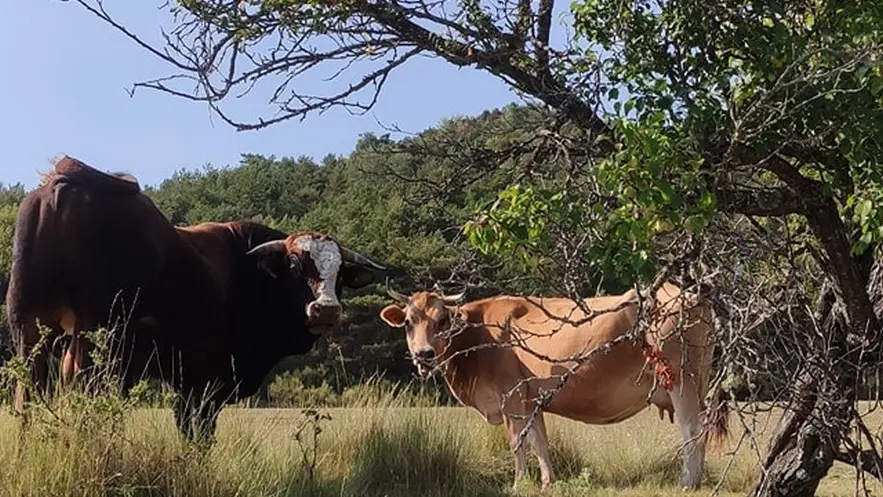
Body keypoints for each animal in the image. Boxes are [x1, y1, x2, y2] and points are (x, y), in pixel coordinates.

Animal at [5, 156, 388, 444]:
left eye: (340, 273)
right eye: (294, 264)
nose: (326, 309)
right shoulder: (205, 382)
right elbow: (197, 436)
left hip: (30, 329)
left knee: (28, 399)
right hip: (94, 338)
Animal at [378, 282, 729, 490]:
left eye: (442, 321)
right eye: (408, 322)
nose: (424, 354)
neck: (479, 333)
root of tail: (689, 294)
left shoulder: (510, 398)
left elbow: (517, 442)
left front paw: (519, 483)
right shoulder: (531, 402)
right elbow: (540, 441)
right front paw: (548, 482)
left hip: (680, 380)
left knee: (691, 429)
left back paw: (687, 483)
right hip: (696, 382)